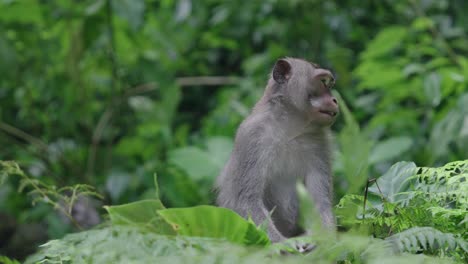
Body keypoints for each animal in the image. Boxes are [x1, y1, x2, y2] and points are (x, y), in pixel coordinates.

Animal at [216, 57, 336, 243]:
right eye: (323, 82)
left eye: (328, 83)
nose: (335, 100)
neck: (289, 129)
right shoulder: (252, 137)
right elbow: (247, 201)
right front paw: (284, 245)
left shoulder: (320, 141)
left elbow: (320, 202)